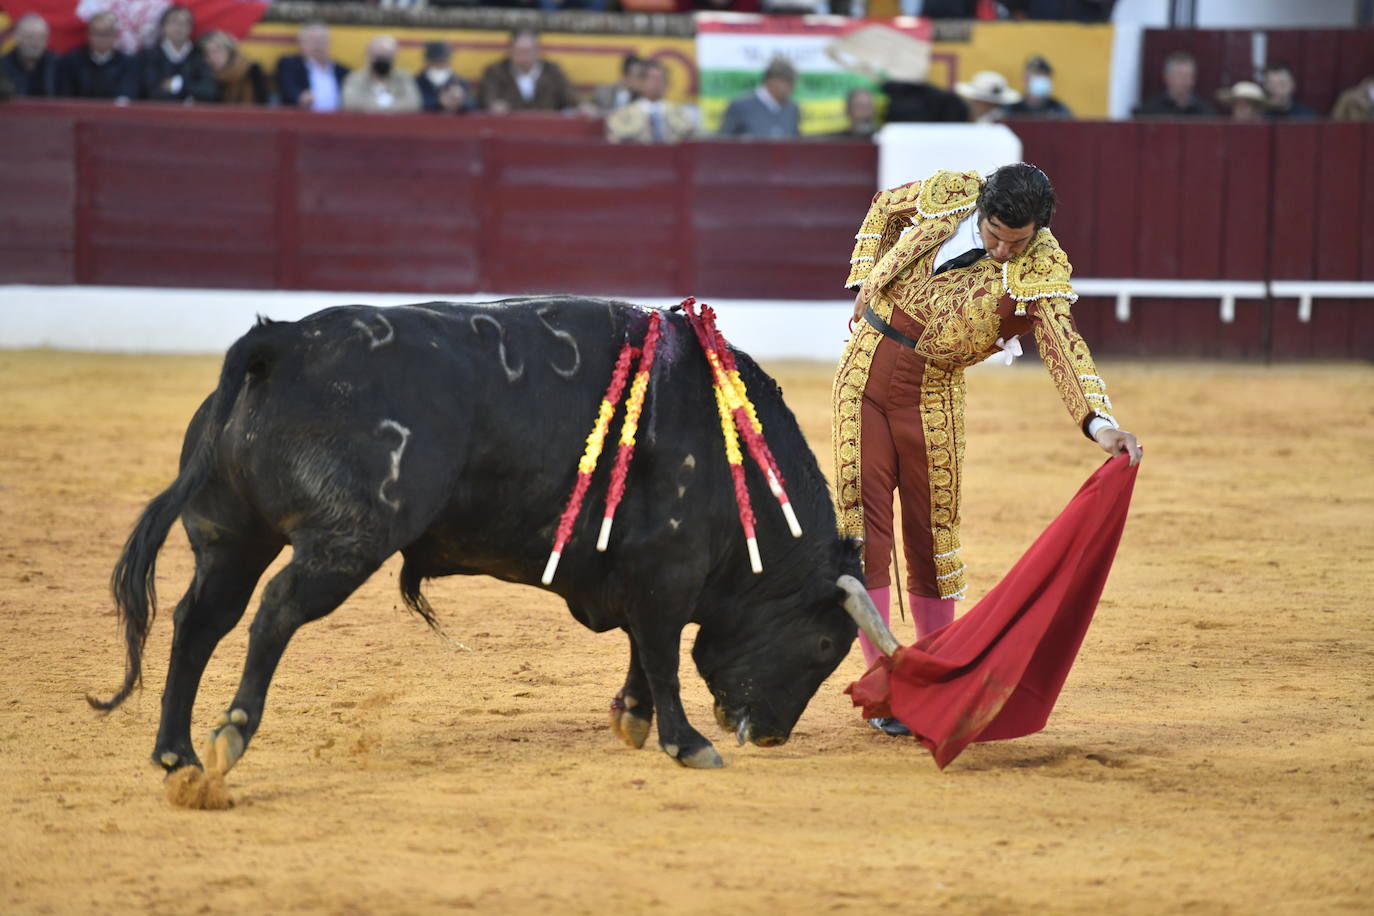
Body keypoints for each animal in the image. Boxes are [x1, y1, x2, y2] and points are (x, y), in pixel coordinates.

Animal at [96, 298, 890, 780]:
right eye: (825, 645)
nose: (769, 735)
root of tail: (284, 339)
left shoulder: (639, 573)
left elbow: (642, 649)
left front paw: (632, 719)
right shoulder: (669, 569)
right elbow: (662, 653)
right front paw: (685, 742)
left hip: (230, 538)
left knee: (199, 620)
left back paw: (176, 755)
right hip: (345, 540)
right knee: (275, 613)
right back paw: (229, 735)